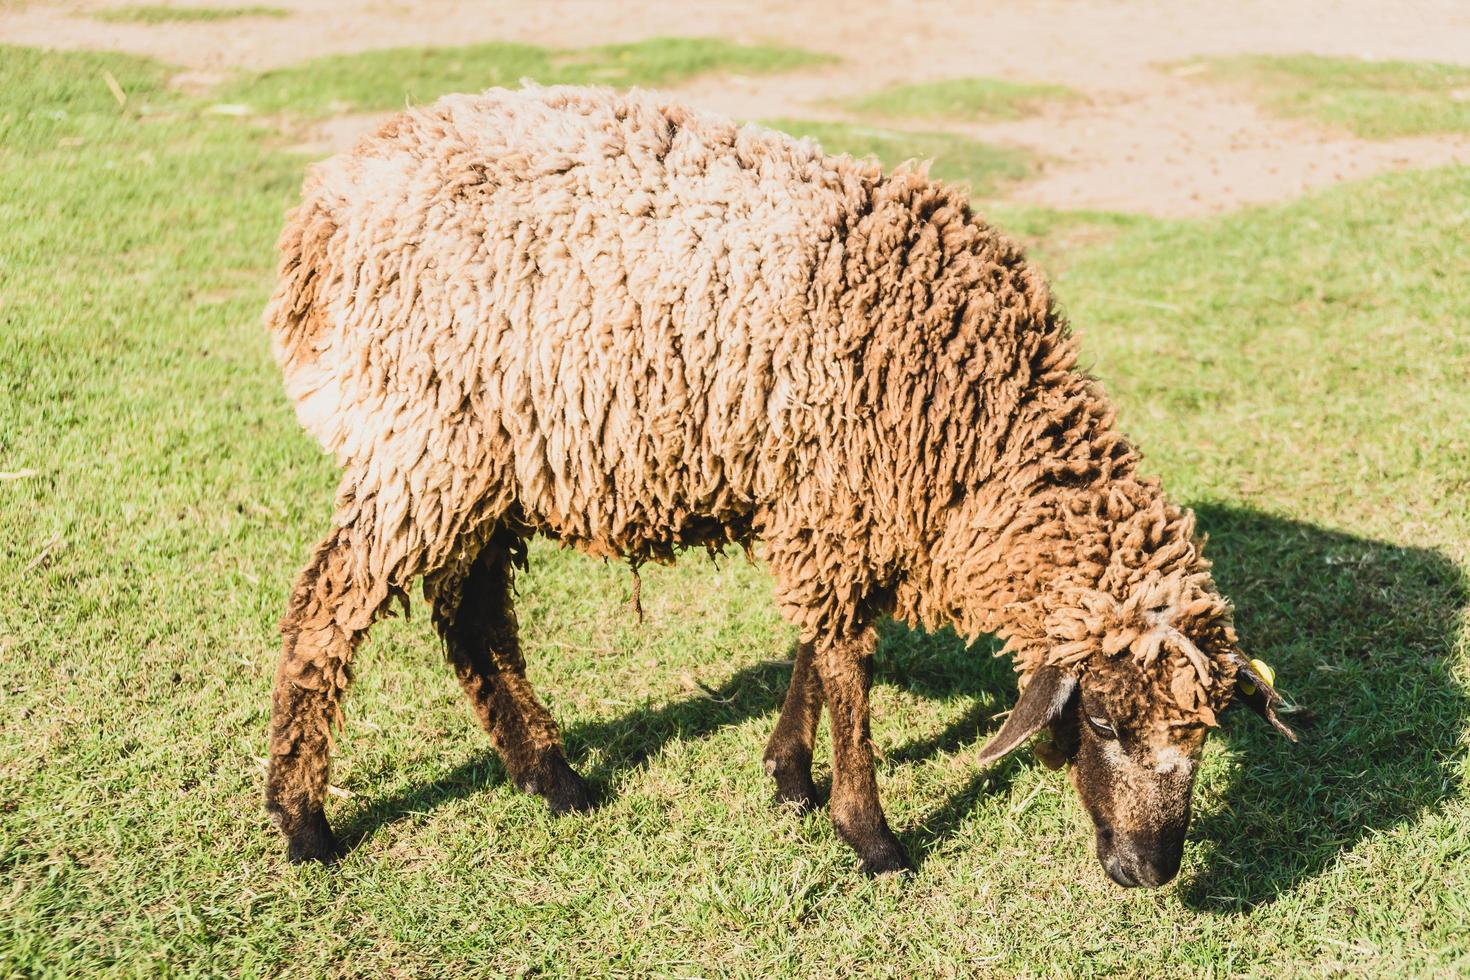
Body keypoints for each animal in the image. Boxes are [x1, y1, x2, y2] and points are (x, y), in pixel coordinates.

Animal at [261, 82, 1287, 881]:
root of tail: (326, 209)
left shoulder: (828, 500)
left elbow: (815, 645)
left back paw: (552, 778)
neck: (983, 425)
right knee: (326, 608)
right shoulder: (839, 496)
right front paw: (870, 836)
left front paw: (791, 775)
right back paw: (305, 821)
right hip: (423, 442)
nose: (1148, 873)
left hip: (483, 460)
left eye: (1203, 737)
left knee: (468, 614)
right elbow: (847, 668)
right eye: (1105, 723)